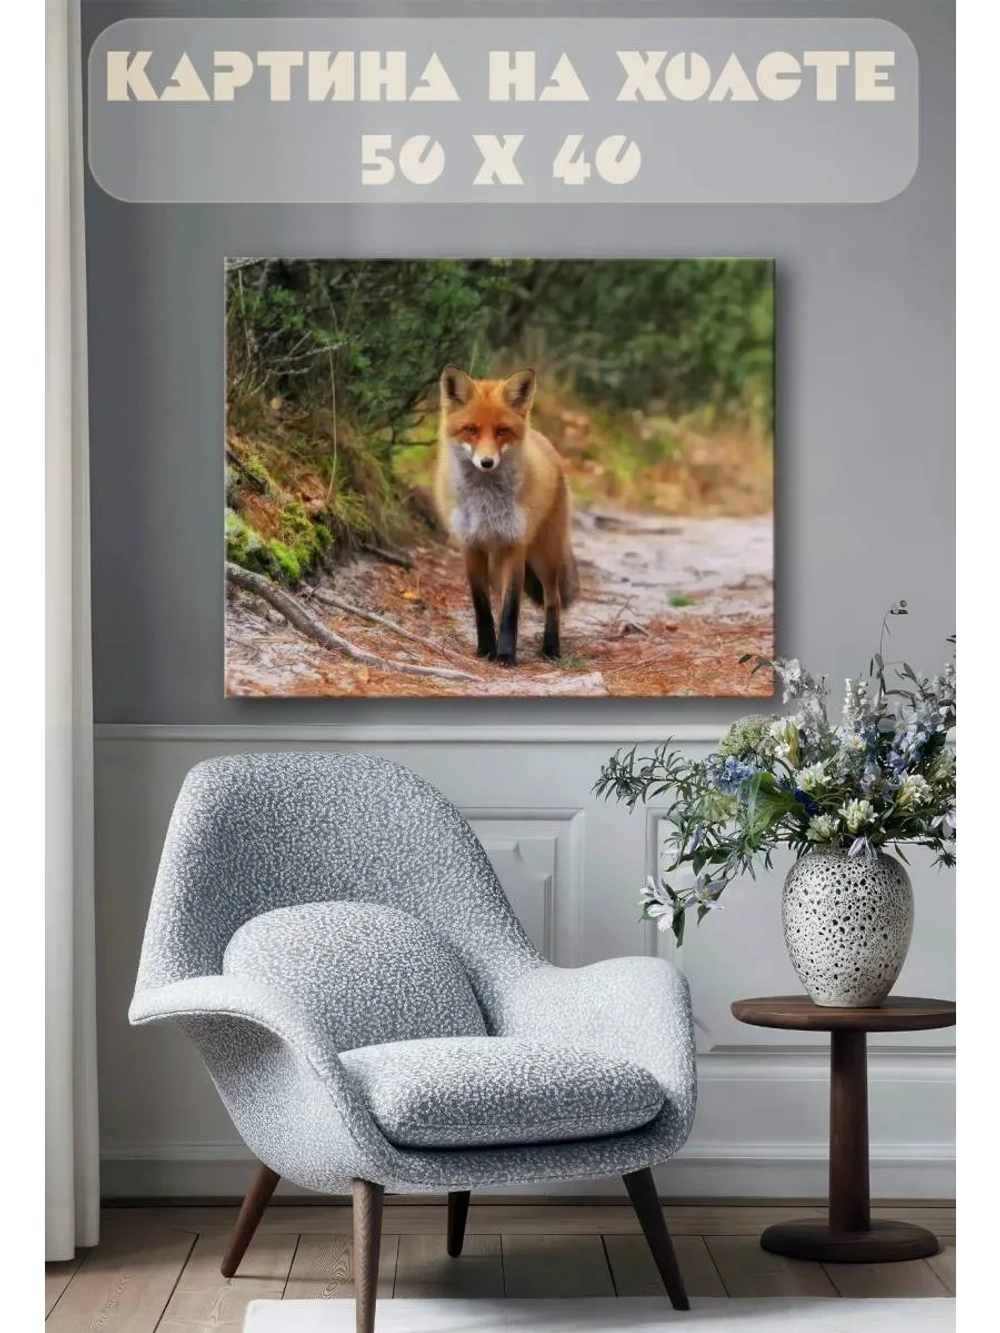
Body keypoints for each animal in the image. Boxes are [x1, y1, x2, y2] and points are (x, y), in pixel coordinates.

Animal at [434, 365, 579, 667]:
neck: (485, 504)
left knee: (554, 600)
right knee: (500, 601)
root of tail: (543, 440)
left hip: (544, 556)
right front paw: (486, 649)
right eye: (471, 430)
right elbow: (483, 606)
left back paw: (551, 648)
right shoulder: (471, 546)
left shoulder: (515, 545)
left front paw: (505, 654)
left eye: (502, 431)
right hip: (497, 558)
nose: (487, 462)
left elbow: (512, 608)